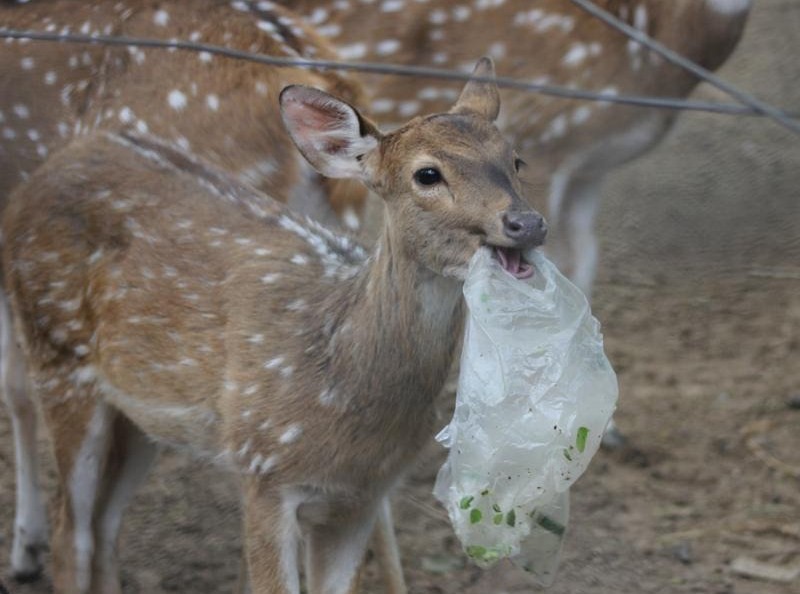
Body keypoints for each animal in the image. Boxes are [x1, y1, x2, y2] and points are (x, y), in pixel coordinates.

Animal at [2, 58, 546, 594]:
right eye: (427, 174)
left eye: (516, 161)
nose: (527, 223)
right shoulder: (262, 469)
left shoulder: (362, 496)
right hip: (57, 355)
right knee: (70, 532)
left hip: (139, 413)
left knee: (104, 523)